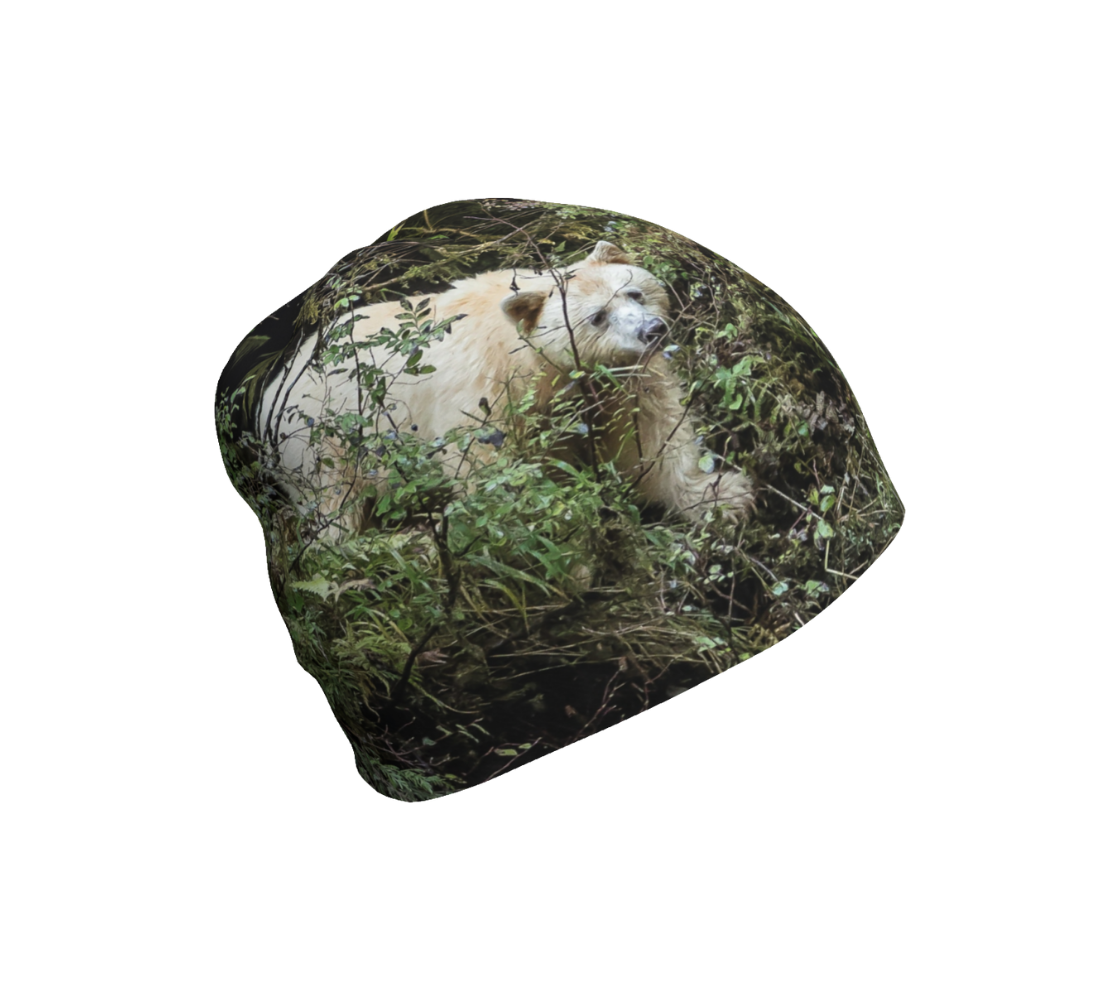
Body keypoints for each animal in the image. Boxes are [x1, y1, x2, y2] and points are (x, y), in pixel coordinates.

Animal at [258, 241, 755, 539]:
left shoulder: (618, 379)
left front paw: (723, 496)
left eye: (634, 293)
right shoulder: (487, 384)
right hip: (328, 437)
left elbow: (649, 434)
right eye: (597, 316)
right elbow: (487, 461)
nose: (653, 330)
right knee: (335, 502)